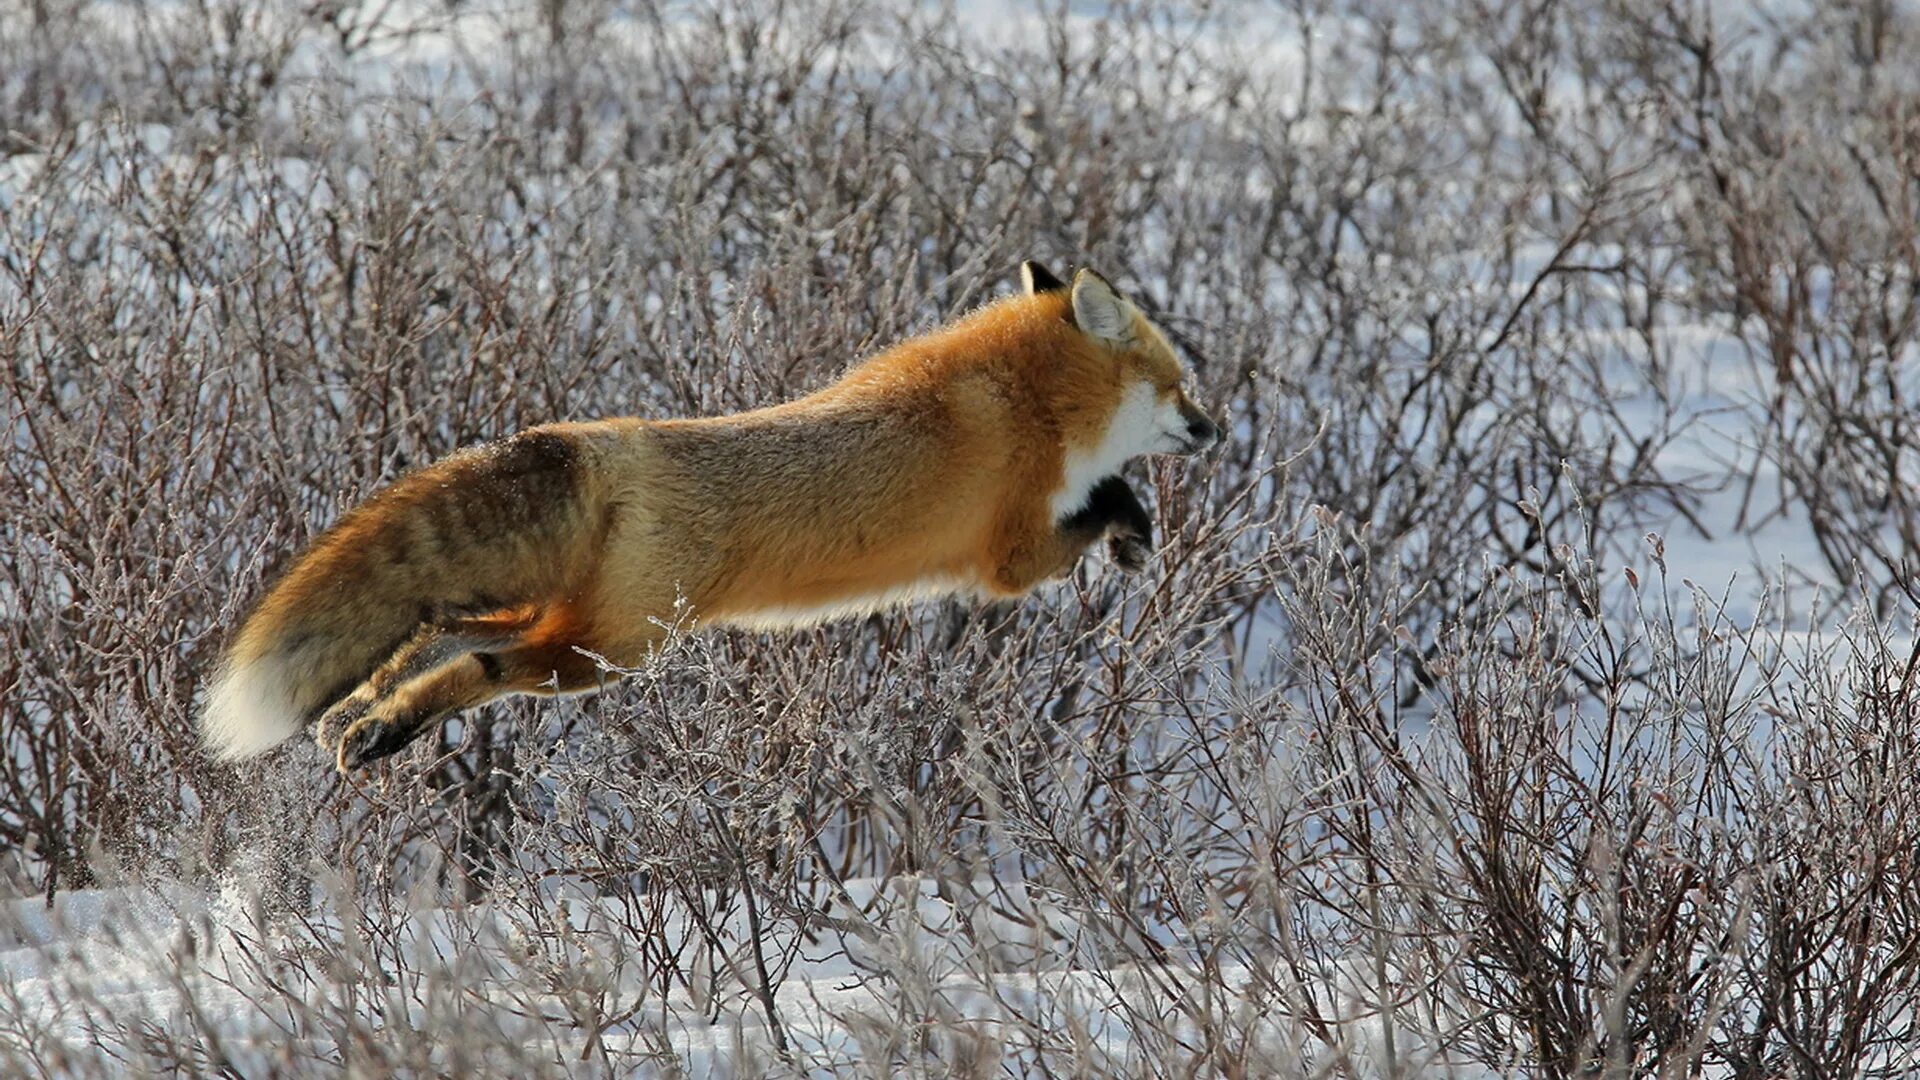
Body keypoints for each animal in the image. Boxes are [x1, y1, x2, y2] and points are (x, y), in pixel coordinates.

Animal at [194, 261, 1213, 768]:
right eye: (1179, 386)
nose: (1217, 428)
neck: (1027, 396)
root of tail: (607, 439)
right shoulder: (1010, 554)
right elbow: (1100, 503)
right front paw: (1132, 527)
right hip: (608, 652)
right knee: (482, 665)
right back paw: (383, 733)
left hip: (575, 622)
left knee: (439, 631)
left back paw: (359, 718)